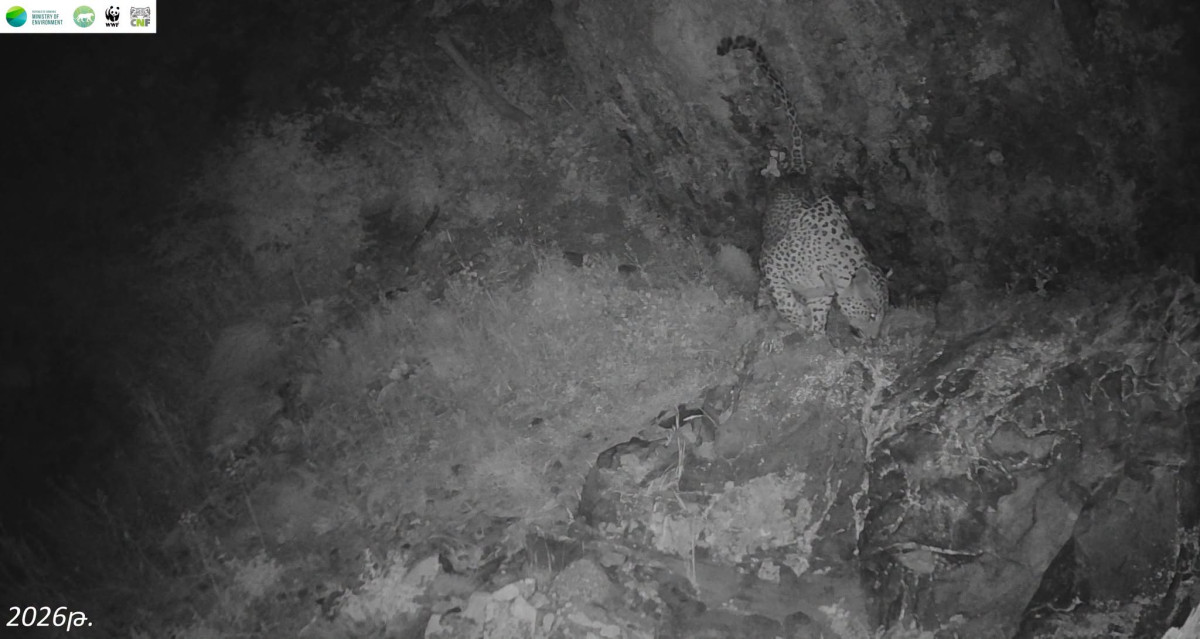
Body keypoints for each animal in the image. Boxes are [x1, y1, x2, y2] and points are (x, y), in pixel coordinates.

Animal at [718, 35, 889, 339]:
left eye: (881, 315)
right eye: (871, 314)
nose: (873, 339)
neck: (833, 271)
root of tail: (799, 170)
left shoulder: (821, 295)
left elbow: (819, 314)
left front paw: (817, 335)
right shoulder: (771, 263)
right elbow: (784, 299)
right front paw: (796, 319)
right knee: (765, 287)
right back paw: (763, 303)